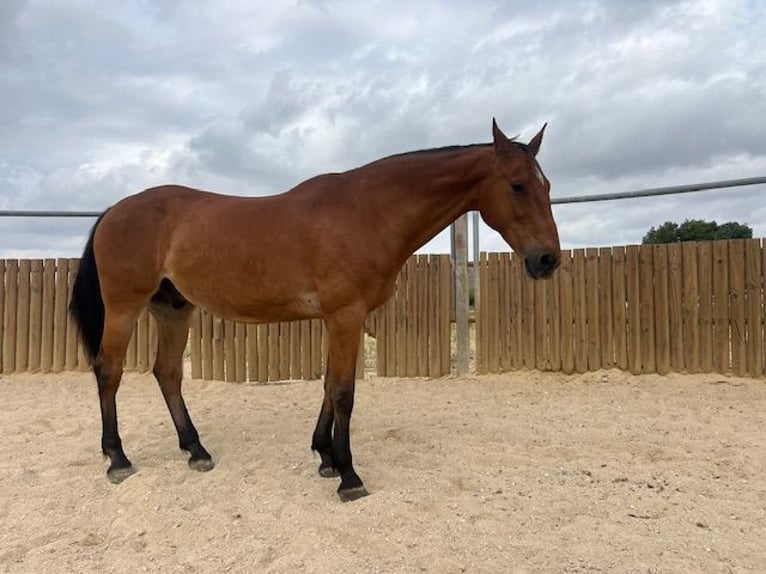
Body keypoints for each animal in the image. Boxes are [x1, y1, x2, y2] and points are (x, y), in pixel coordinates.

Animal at [69, 119, 560, 501]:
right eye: (518, 185)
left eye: (547, 185)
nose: (547, 260)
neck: (365, 212)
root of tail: (114, 211)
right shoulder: (346, 315)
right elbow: (343, 391)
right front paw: (348, 474)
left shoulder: (338, 319)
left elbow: (327, 384)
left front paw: (324, 456)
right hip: (125, 308)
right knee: (109, 371)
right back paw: (118, 458)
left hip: (173, 310)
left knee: (168, 373)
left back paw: (196, 450)